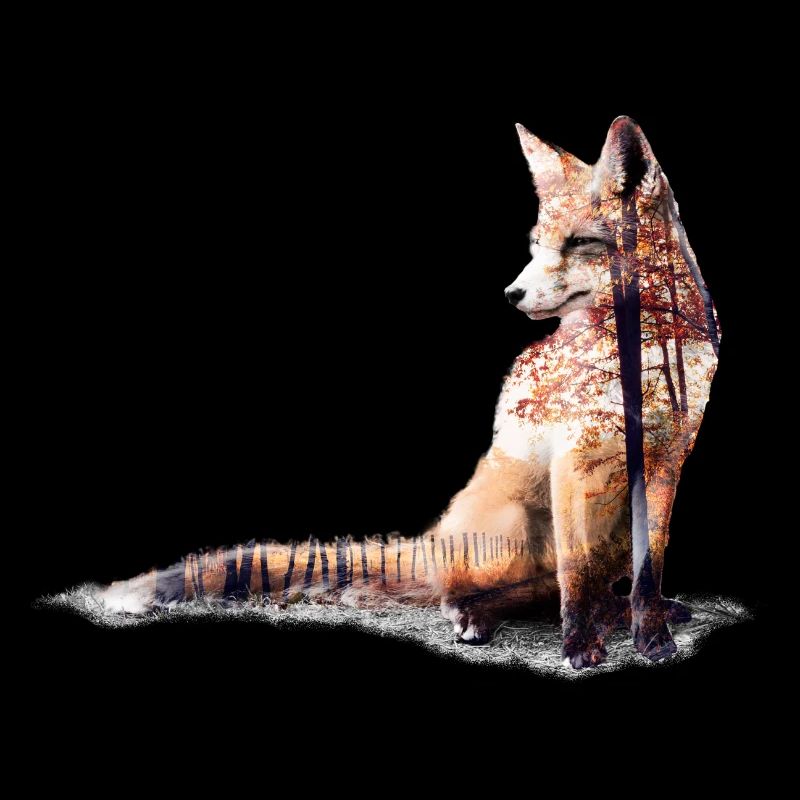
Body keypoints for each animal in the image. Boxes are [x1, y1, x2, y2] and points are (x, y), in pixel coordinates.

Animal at [90, 116, 720, 669]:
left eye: (580, 242)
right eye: (536, 245)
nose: (510, 293)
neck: (637, 363)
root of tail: (436, 534)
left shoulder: (666, 465)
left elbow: (647, 571)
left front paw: (649, 635)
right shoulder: (572, 462)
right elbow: (573, 575)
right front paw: (580, 646)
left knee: (564, 583)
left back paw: (611, 612)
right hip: (515, 526)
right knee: (472, 589)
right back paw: (478, 616)